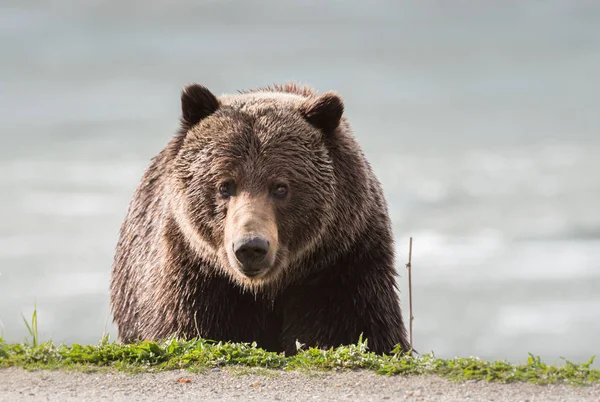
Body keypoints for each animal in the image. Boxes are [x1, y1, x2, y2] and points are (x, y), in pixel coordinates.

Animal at [109, 82, 412, 354]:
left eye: (280, 187)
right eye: (225, 185)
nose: (250, 247)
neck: (266, 289)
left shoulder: (342, 268)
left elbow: (354, 331)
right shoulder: (195, 275)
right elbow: (190, 329)